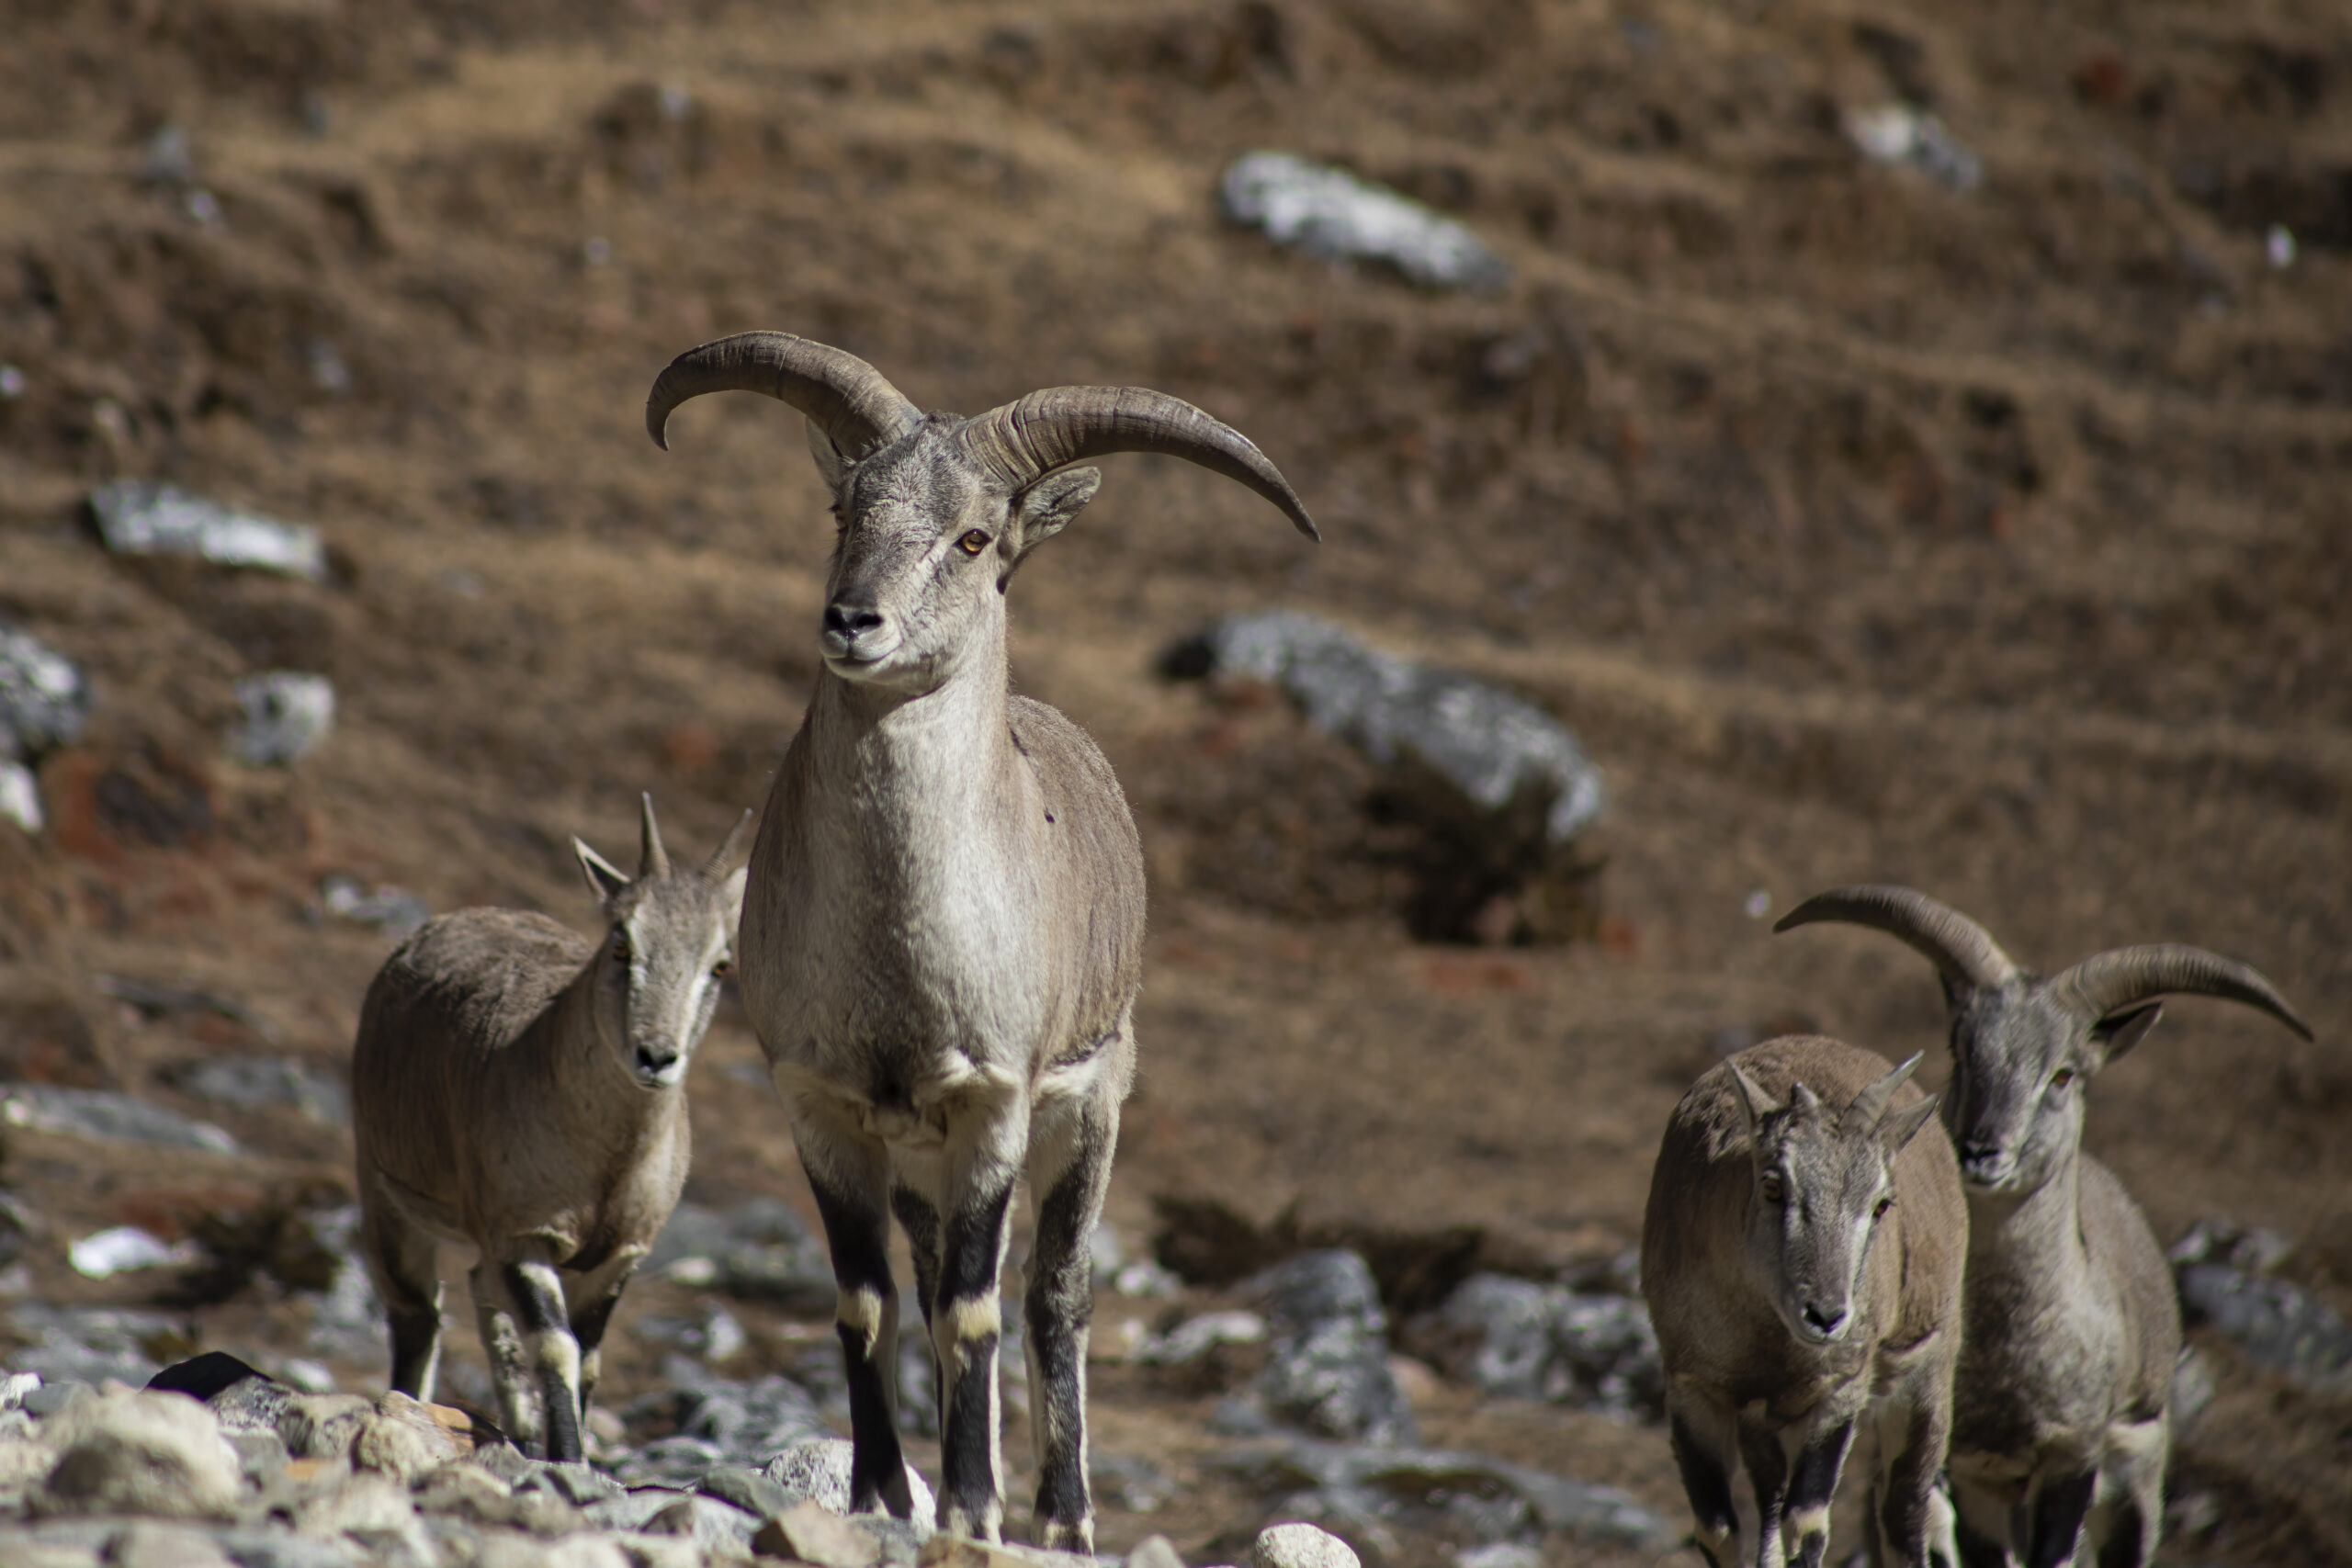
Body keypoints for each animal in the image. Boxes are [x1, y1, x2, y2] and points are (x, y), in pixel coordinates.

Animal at [352, 795, 749, 1462]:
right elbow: (556, 1346)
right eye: (622, 943)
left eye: (720, 965)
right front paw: (567, 1456)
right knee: (417, 1315)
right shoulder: (522, 1233)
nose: (655, 1056)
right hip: (385, 1192)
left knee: (478, 1289)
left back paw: (517, 1425)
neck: (607, 1164)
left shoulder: (615, 1258)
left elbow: (586, 1357)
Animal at [644, 330, 1316, 1548]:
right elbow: (866, 1302)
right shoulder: (821, 1105)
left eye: (973, 537)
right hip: (921, 1160)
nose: (852, 621)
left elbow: (973, 1309)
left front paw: (966, 1505)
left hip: (1091, 1106)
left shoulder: (994, 1100)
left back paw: (1060, 1516)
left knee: (1050, 1293)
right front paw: (878, 1493)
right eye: (843, 507)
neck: (895, 960)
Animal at [1642, 1036, 1966, 1568]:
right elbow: (1717, 1529)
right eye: (1774, 1185)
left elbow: (1807, 1525)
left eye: (1881, 1203)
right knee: (1771, 1503)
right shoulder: (1693, 1384)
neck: (1765, 1336)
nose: (1826, 1316)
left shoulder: (1839, 1388)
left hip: (1928, 1374)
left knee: (1907, 1508)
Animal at [1774, 886, 2313, 1568]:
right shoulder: (1971, 1469)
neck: (2011, 1359)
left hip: (2135, 1478)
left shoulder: (2071, 1457)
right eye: (1960, 1050)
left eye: (2063, 1072)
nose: (1981, 1151)